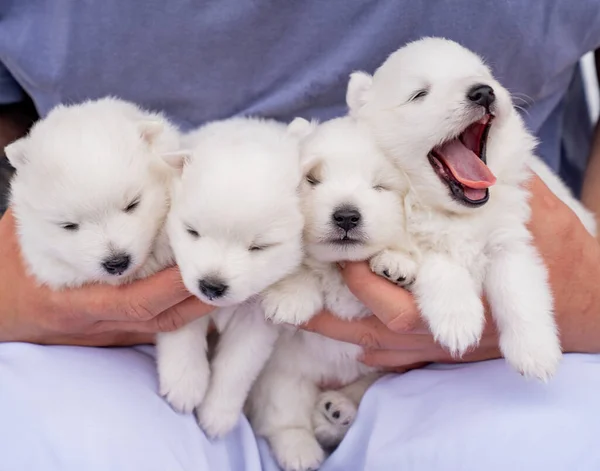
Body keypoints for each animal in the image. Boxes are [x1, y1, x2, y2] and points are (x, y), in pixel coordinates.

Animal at [156, 117, 304, 438]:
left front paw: (217, 414)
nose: (211, 286)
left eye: (259, 247)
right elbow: (183, 332)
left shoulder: (257, 320)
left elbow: (237, 365)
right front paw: (185, 383)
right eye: (192, 231)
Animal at [346, 37, 596, 384]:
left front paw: (534, 350)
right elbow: (439, 263)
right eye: (419, 94)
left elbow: (518, 288)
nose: (483, 92)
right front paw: (458, 321)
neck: (456, 213)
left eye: (483, 75)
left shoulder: (509, 237)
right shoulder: (417, 235)